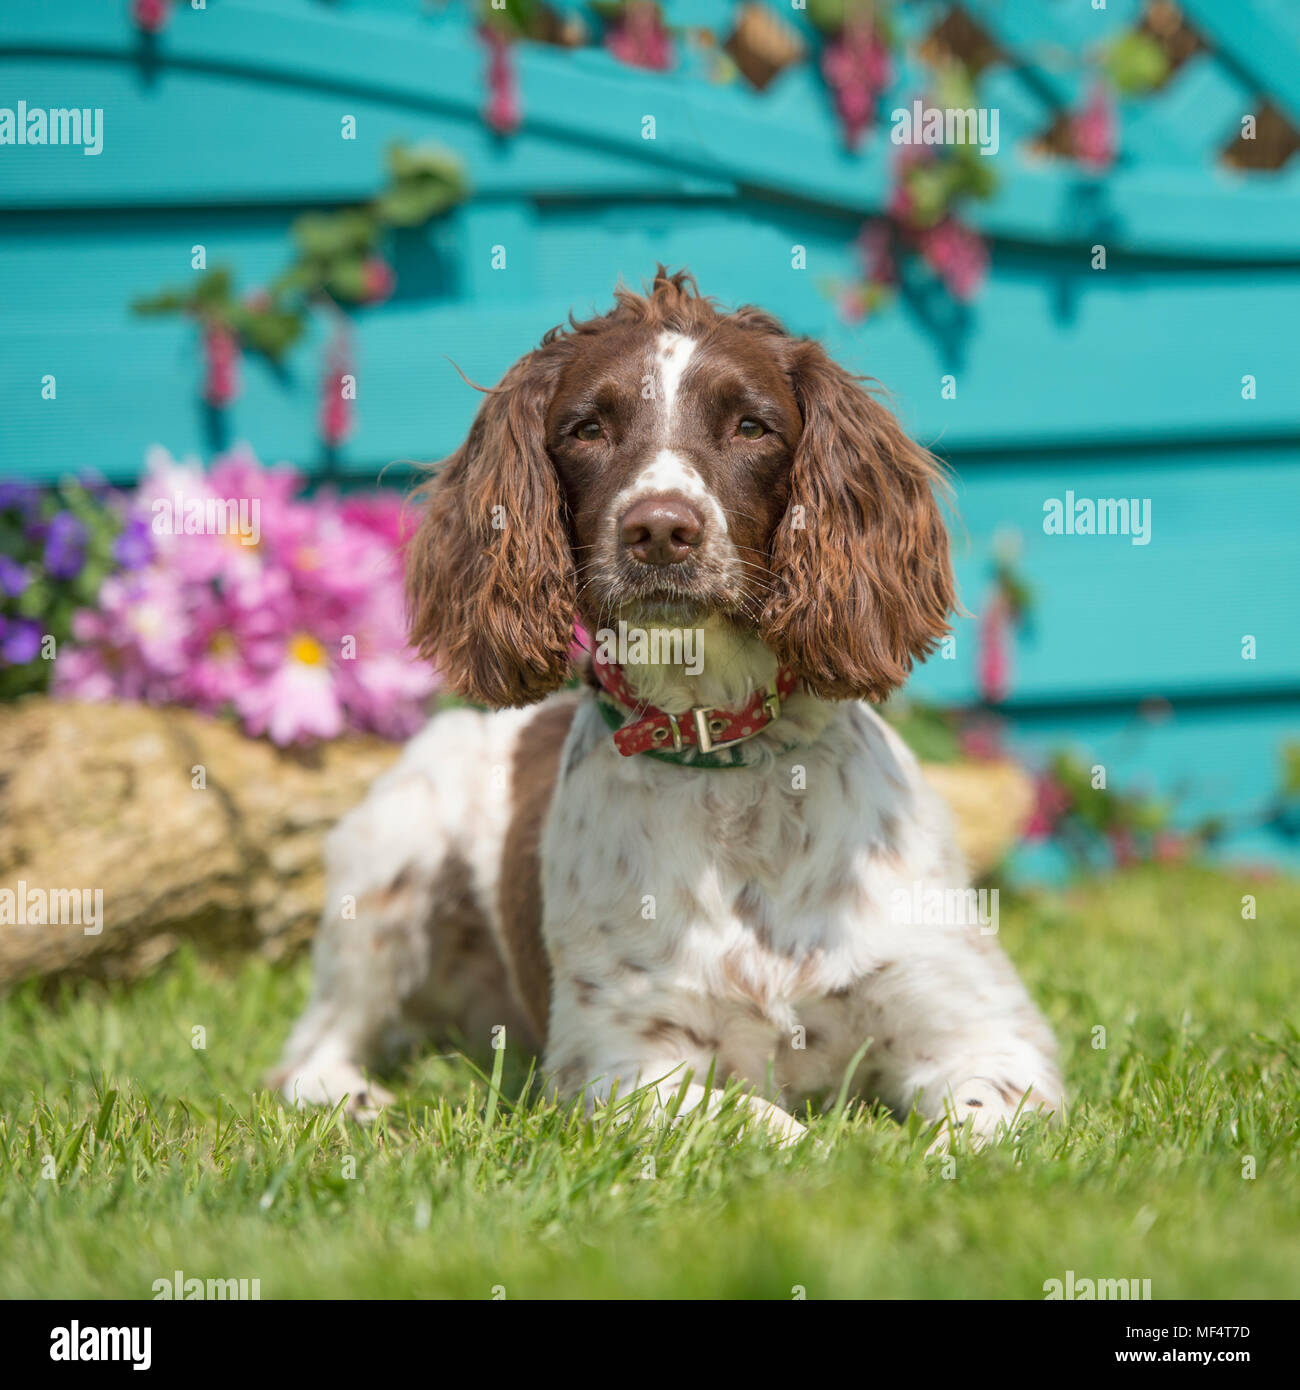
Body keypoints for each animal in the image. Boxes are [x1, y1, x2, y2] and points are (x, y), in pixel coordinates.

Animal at [269, 265, 1062, 1145]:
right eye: (586, 429)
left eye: (752, 425)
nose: (658, 530)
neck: (727, 756)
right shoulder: (618, 1065)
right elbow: (766, 1125)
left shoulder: (982, 1030)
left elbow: (979, 1121)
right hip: (394, 856)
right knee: (310, 1045)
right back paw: (348, 1097)